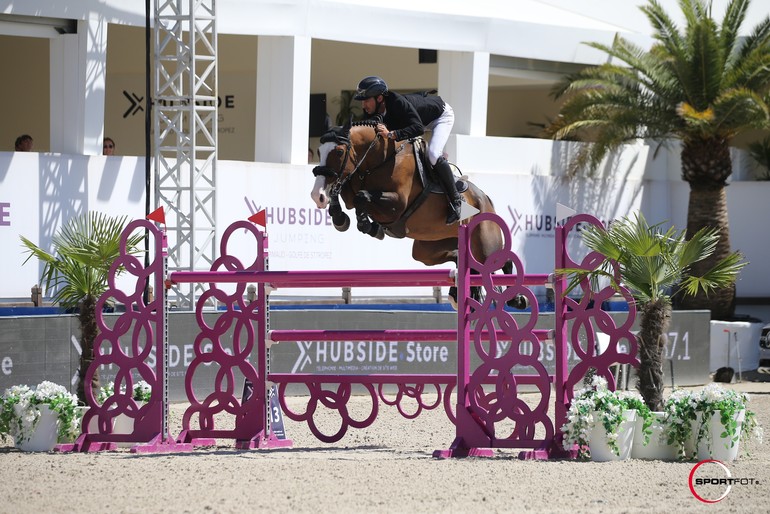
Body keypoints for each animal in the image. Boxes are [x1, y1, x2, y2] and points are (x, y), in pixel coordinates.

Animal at [308, 117, 524, 308]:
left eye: (338, 151)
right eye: (319, 151)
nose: (316, 195)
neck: (380, 159)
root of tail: (485, 198)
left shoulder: (396, 205)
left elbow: (362, 197)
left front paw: (366, 224)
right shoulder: (353, 182)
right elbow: (347, 196)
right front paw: (340, 217)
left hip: (485, 242)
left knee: (500, 261)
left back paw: (518, 299)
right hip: (426, 250)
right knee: (460, 259)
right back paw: (457, 292)